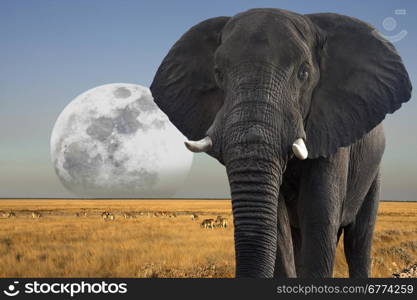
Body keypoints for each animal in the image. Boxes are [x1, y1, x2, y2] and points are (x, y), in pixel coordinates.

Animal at [149, 7, 410, 278]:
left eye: (304, 73)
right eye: (218, 73)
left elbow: (319, 216)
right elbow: (278, 222)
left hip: (373, 174)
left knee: (358, 239)